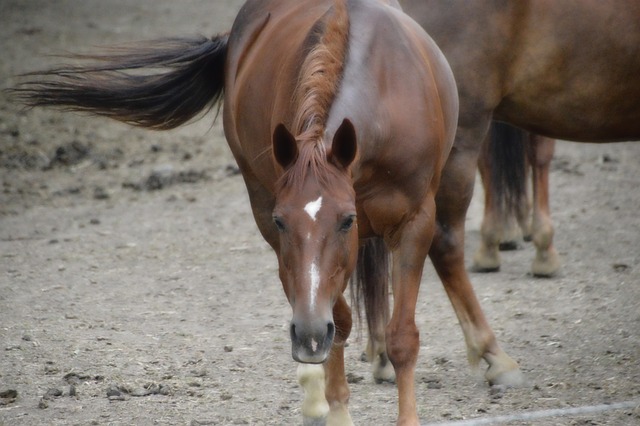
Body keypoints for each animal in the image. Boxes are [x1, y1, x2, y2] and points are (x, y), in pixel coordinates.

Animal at [11, 1, 524, 424]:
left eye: (346, 220)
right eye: (282, 221)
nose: (307, 335)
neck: (383, 95)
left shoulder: (415, 222)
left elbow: (402, 338)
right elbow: (338, 322)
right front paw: (333, 405)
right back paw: (318, 394)